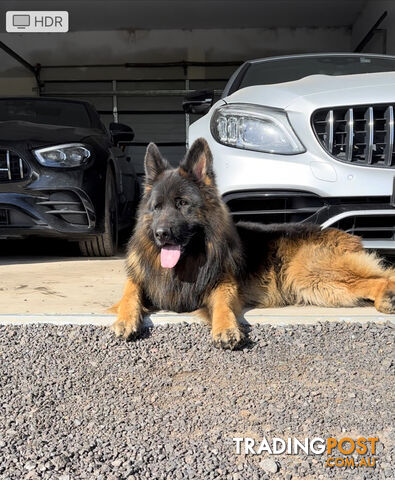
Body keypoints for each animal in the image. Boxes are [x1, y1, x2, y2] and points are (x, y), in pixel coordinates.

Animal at [111, 138, 395, 348]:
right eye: (156, 207)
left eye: (182, 204)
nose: (161, 234)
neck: (188, 262)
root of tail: (348, 236)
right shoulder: (142, 278)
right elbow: (129, 293)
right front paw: (125, 319)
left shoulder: (223, 283)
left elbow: (223, 303)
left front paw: (226, 327)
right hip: (320, 289)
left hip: (310, 274)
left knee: (382, 276)